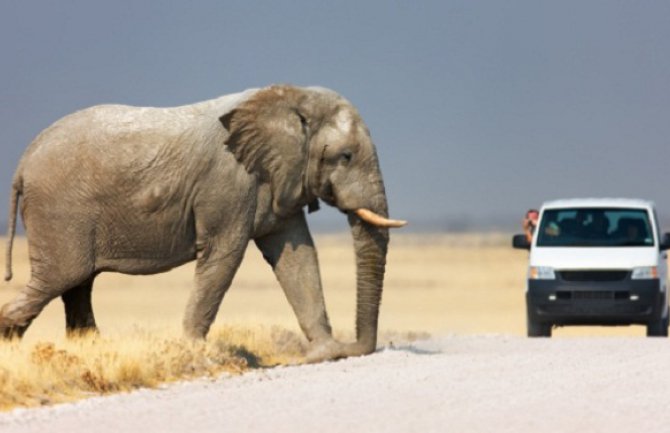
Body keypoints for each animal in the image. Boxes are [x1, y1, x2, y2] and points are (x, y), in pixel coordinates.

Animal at [2, 84, 406, 362]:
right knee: (61, 278)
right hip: (59, 212)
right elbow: (225, 256)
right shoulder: (228, 184)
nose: (354, 348)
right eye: (345, 156)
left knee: (78, 284)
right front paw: (193, 350)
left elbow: (297, 256)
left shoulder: (278, 179)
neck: (290, 98)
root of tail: (22, 163)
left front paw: (323, 353)